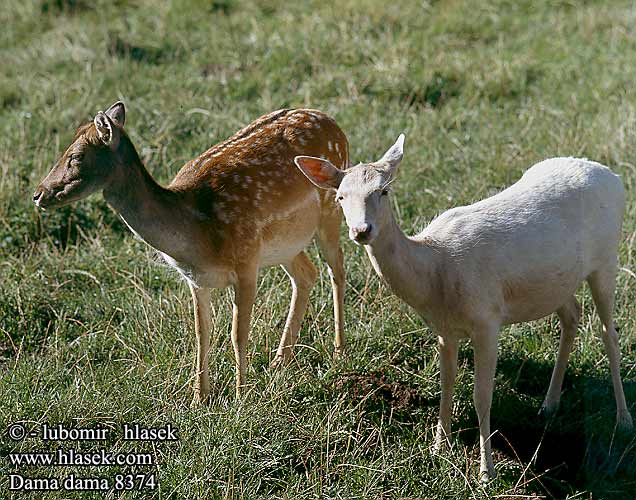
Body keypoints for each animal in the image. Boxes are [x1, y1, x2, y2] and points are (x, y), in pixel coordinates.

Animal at [33, 100, 350, 398]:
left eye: (76, 156)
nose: (38, 194)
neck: (197, 232)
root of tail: (333, 122)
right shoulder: (196, 279)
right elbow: (201, 333)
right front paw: (200, 397)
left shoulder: (247, 261)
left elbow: (238, 333)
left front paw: (241, 396)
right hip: (285, 245)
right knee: (306, 274)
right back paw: (279, 362)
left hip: (331, 211)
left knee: (337, 269)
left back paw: (338, 352)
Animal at [296, 136, 632, 480]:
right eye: (340, 196)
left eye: (383, 191)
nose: (362, 230)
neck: (436, 270)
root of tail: (613, 176)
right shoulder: (445, 329)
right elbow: (447, 384)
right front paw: (437, 448)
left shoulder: (487, 319)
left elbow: (482, 395)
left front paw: (487, 472)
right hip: (558, 282)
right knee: (572, 314)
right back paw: (549, 405)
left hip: (607, 259)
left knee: (609, 334)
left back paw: (623, 420)